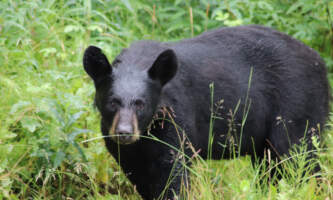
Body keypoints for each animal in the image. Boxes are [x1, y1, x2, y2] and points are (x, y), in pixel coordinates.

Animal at [82, 25, 326, 200]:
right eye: (113, 102)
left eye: (141, 103)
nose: (124, 132)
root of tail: (320, 62)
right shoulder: (124, 145)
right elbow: (138, 174)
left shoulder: (177, 118)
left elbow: (173, 172)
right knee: (271, 168)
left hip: (297, 107)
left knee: (300, 158)